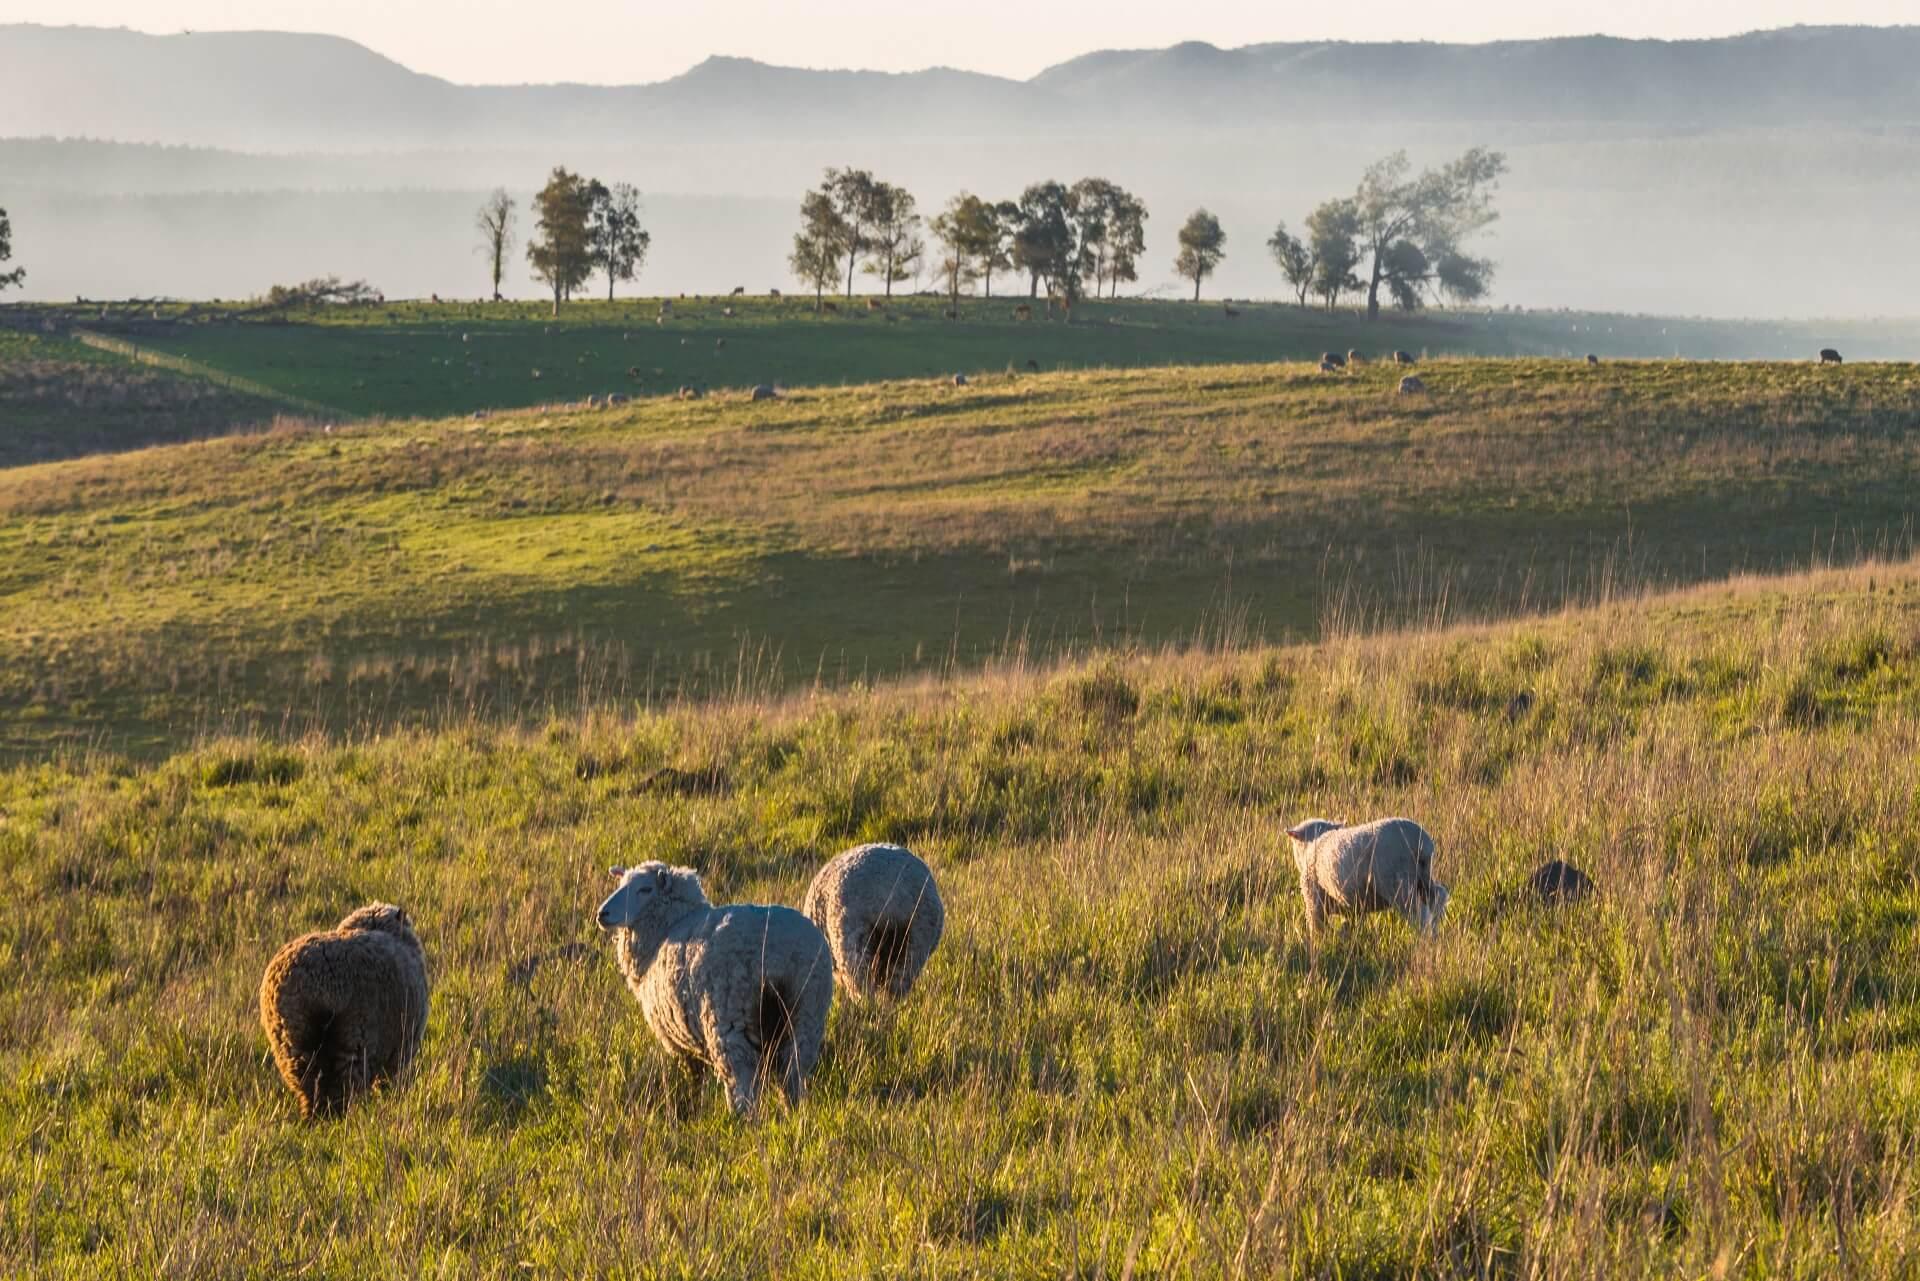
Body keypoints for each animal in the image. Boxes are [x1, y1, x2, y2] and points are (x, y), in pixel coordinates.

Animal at [258, 903, 429, 1119]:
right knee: (341, 1089)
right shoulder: (400, 1051)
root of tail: (318, 984)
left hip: (292, 1043)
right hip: (354, 1040)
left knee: (310, 1087)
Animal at [596, 862, 833, 1115]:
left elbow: (695, 1079)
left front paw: (694, 1107)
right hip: (805, 1018)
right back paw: (793, 1114)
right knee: (792, 1074)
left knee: (742, 1084)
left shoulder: (680, 1044)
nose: (602, 913)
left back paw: (741, 1120)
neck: (667, 928)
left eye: (645, 889)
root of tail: (777, 957)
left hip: (730, 1024)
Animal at [1284, 817, 1449, 940]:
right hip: (1423, 877)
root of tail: (1419, 839)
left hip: (1397, 883)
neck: (1316, 842)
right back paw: (1435, 933)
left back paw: (1423, 939)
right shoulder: (1354, 906)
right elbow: (1348, 927)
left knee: (1419, 914)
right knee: (1438, 897)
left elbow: (1317, 927)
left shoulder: (1314, 901)